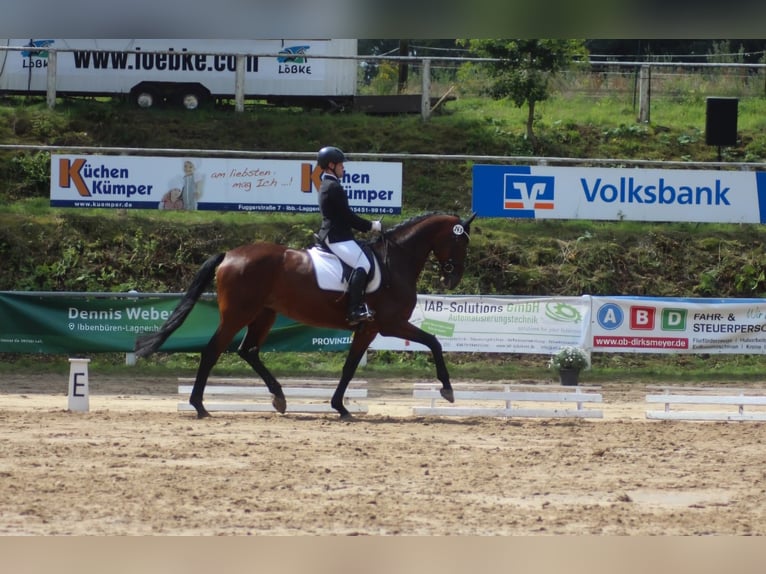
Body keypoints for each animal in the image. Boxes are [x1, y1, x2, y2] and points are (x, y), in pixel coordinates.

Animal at [135, 212, 476, 418]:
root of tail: (230, 254)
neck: (395, 262)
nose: (453, 278)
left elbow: (350, 367)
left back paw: (279, 397)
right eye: (459, 240)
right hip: (237, 314)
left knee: (249, 350)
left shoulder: (368, 329)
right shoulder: (390, 324)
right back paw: (199, 406)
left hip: (265, 314)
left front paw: (340, 407)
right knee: (212, 351)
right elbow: (434, 342)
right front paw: (447, 390)